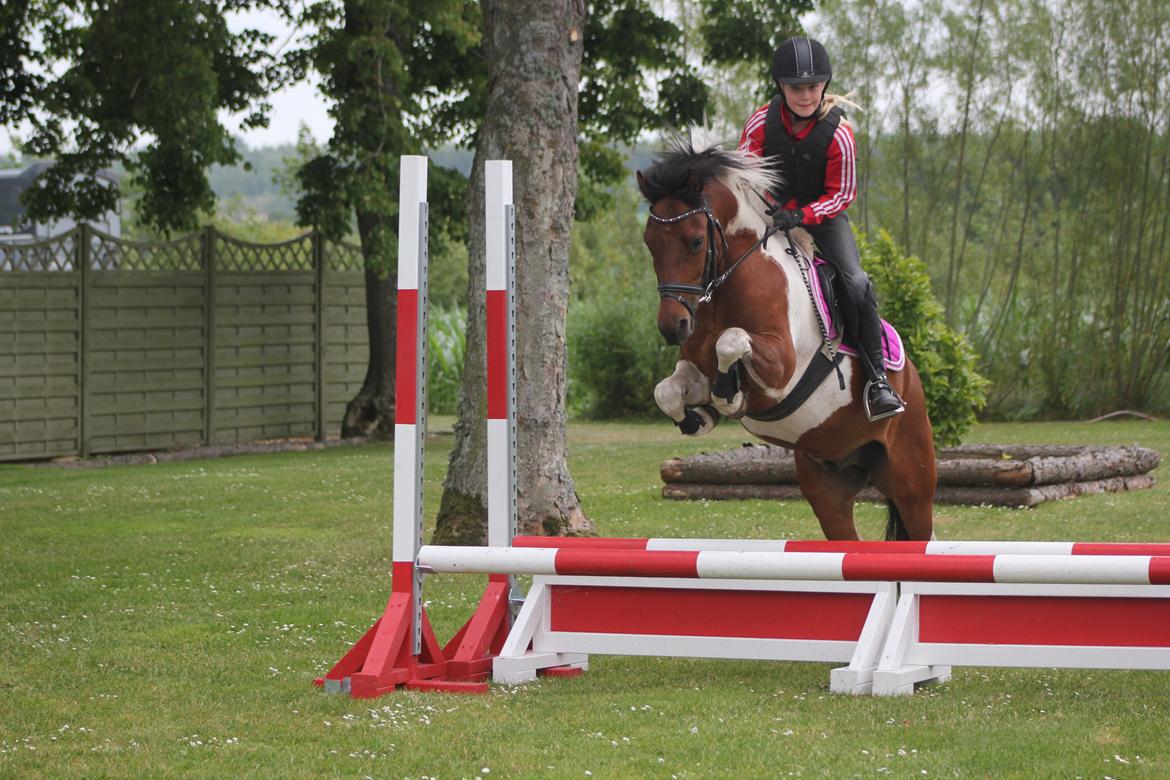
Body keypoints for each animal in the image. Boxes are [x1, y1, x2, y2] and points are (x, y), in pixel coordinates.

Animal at [636, 140, 935, 540]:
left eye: (696, 241)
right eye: (650, 242)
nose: (674, 326)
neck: (729, 283)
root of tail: (912, 383)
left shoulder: (781, 369)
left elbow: (730, 341)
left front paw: (727, 394)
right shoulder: (693, 368)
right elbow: (666, 390)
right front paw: (698, 417)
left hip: (911, 480)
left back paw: (882, 395)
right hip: (827, 485)